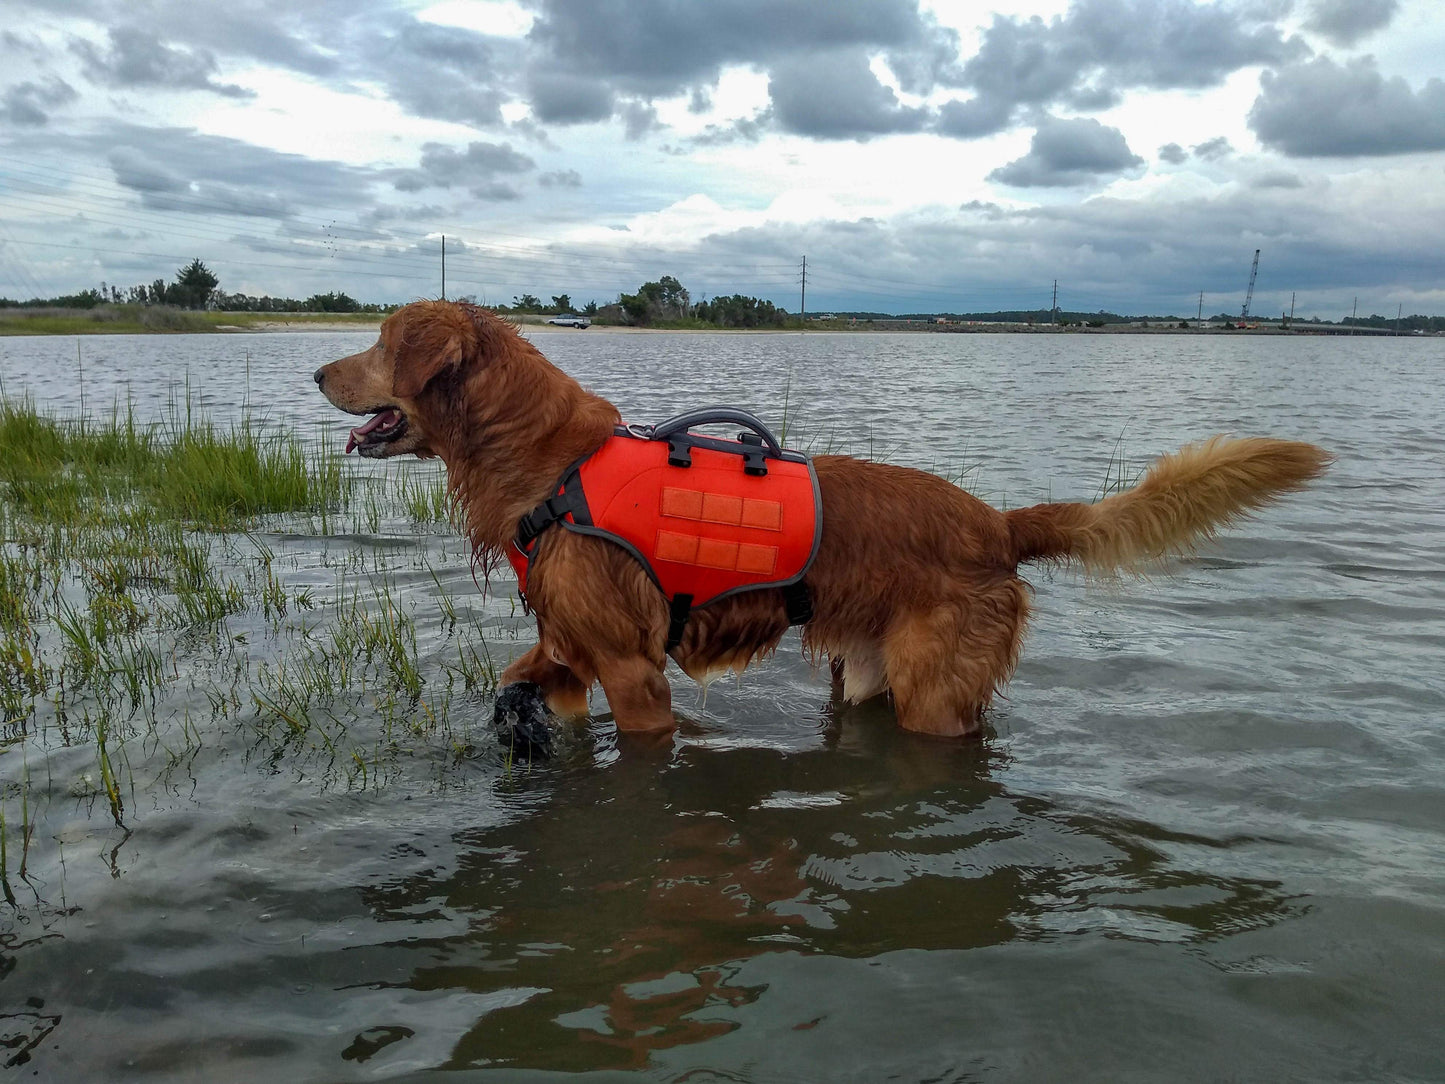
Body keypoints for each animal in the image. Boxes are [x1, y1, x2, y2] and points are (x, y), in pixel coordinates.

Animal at [319, 302, 1329, 751]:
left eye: (378, 342)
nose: (317, 372)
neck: (551, 467)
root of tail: (998, 525)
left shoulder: (634, 672)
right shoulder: (570, 652)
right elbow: (521, 680)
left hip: (930, 692)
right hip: (867, 676)